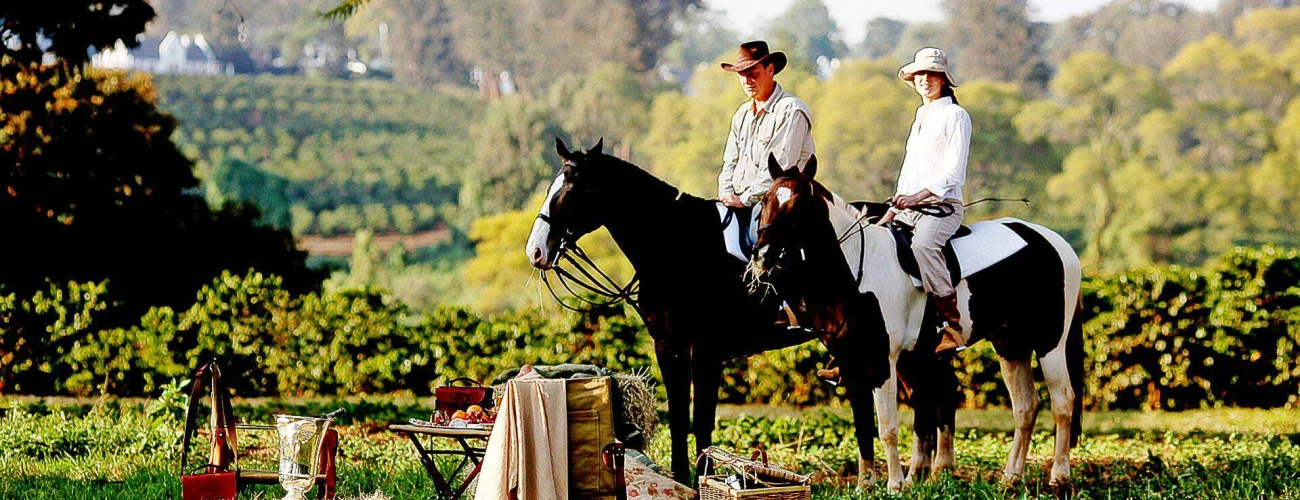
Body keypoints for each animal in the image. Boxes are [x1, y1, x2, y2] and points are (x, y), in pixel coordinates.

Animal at [522, 138, 837, 480]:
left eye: (572, 190)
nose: (535, 251)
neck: (676, 247)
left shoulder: (706, 350)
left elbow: (702, 420)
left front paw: (703, 477)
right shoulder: (668, 346)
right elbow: (678, 419)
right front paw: (681, 477)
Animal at [748, 158, 1081, 488]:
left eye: (798, 204)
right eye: (764, 201)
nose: (762, 255)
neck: (857, 272)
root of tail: (1055, 243)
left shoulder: (882, 361)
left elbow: (888, 427)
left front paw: (895, 484)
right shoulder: (852, 362)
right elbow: (863, 426)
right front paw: (865, 483)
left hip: (1051, 343)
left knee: (1062, 402)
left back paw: (1059, 475)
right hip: (1011, 347)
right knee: (1025, 407)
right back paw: (1010, 478)